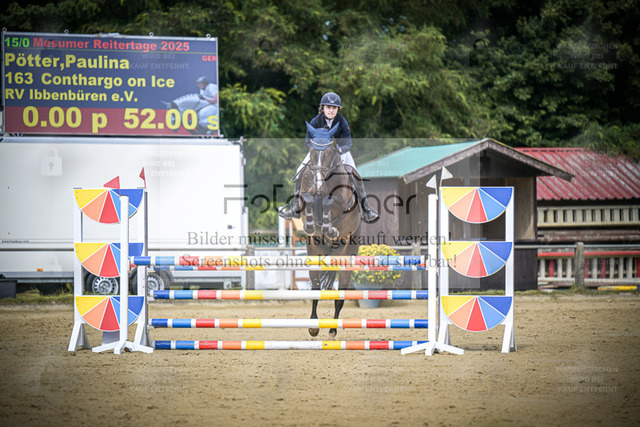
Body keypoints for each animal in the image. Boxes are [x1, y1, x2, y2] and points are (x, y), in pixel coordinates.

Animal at [299, 121, 361, 338]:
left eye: (329, 151)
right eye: (311, 150)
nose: (318, 183)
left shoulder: (341, 200)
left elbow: (329, 201)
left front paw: (329, 227)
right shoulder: (306, 194)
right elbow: (309, 199)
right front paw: (311, 225)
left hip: (346, 254)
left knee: (340, 293)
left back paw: (333, 329)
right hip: (315, 253)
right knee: (316, 287)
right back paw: (313, 326)